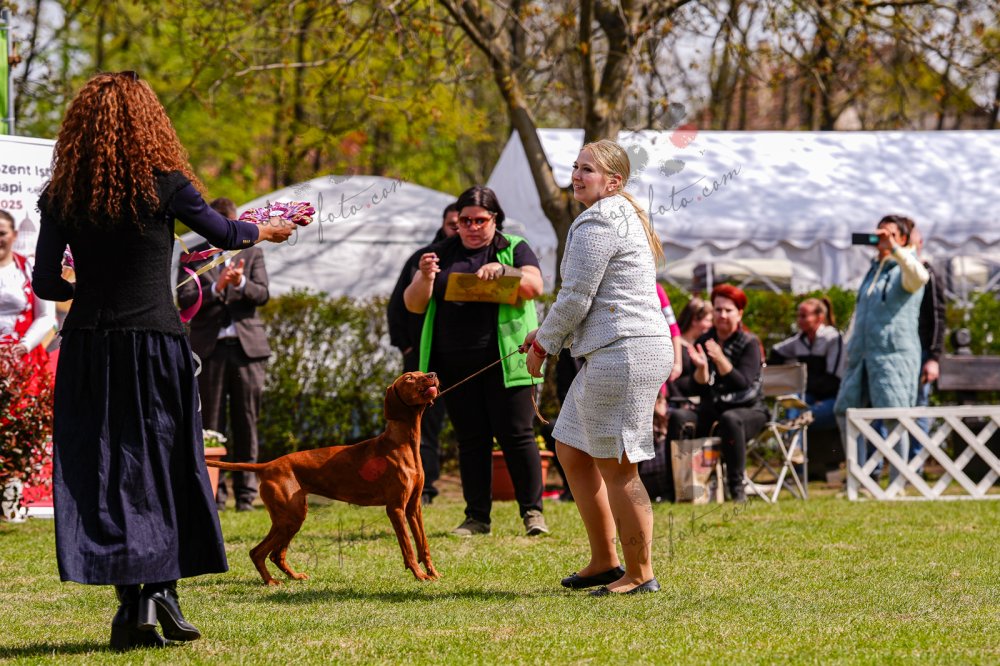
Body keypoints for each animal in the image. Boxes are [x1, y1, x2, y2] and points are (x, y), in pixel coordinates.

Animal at [207, 371, 441, 585]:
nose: (433, 374)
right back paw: (271, 581)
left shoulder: (414, 508)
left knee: (275, 554)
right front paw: (420, 575)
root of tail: (268, 465)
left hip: (290, 518)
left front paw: (433, 573)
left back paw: (293, 576)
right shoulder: (395, 508)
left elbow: (423, 544)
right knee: (258, 552)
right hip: (291, 517)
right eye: (409, 377)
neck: (403, 444)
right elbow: (408, 547)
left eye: (421, 373)